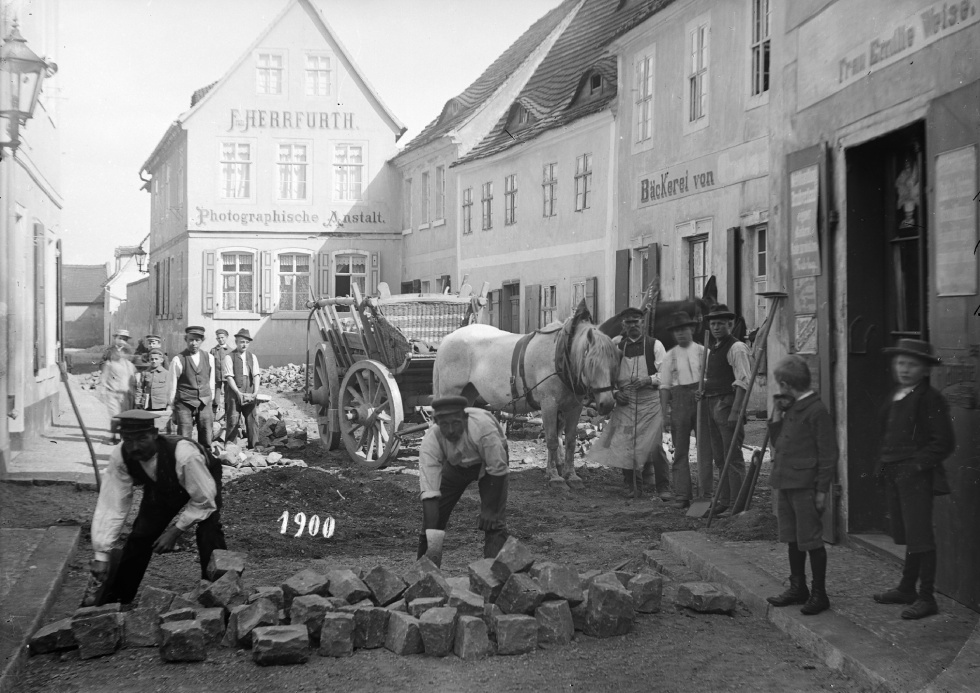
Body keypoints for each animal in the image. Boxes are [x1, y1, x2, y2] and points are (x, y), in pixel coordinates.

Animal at [432, 310, 616, 490]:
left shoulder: (573, 407)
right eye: (591, 363)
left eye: (614, 361)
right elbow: (552, 441)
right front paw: (555, 477)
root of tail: (447, 339)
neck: (559, 357)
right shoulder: (549, 404)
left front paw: (571, 476)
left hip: (468, 393)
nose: (607, 404)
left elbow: (570, 441)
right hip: (451, 392)